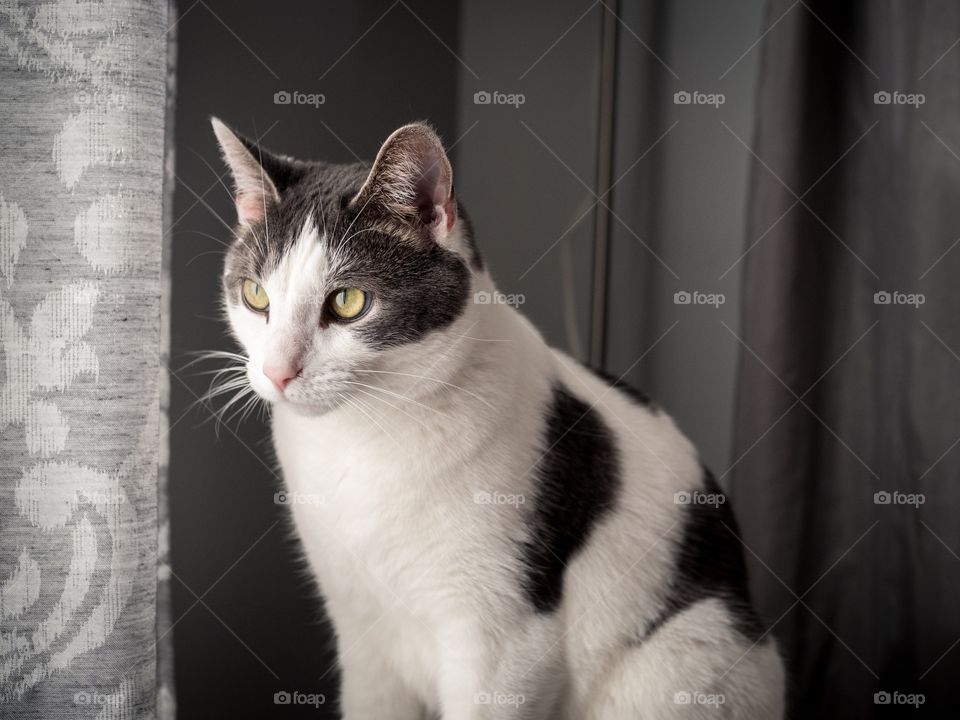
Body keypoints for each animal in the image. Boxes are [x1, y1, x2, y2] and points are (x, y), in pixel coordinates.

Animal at [212, 118, 788, 720]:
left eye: (348, 302)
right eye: (255, 295)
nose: (277, 372)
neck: (362, 440)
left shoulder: (504, 640)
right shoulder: (361, 633)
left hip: (687, 653)